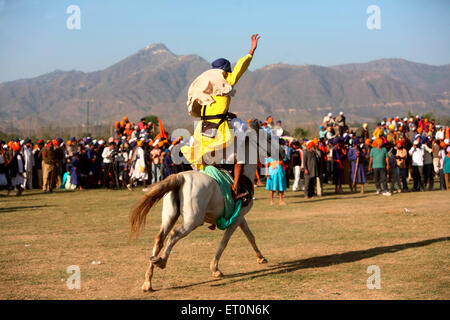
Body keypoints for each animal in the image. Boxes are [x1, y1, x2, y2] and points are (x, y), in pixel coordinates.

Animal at [128, 123, 280, 292]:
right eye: (268, 137)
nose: (279, 151)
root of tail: (180, 177)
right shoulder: (237, 218)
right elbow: (225, 241)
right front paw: (215, 268)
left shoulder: (240, 217)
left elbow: (250, 236)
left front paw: (261, 257)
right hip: (192, 221)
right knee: (173, 235)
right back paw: (161, 261)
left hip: (169, 216)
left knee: (159, 239)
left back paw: (148, 280)